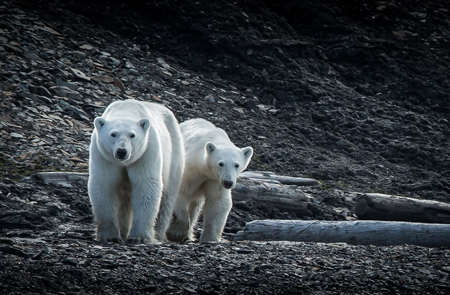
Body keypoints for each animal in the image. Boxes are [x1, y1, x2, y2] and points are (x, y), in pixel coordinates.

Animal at [89, 100, 184, 244]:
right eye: (113, 134)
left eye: (132, 135)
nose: (121, 151)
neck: (126, 110)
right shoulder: (103, 155)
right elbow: (104, 184)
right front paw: (109, 235)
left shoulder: (146, 151)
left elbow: (146, 185)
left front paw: (140, 236)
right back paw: (123, 232)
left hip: (174, 153)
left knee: (167, 198)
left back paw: (159, 234)